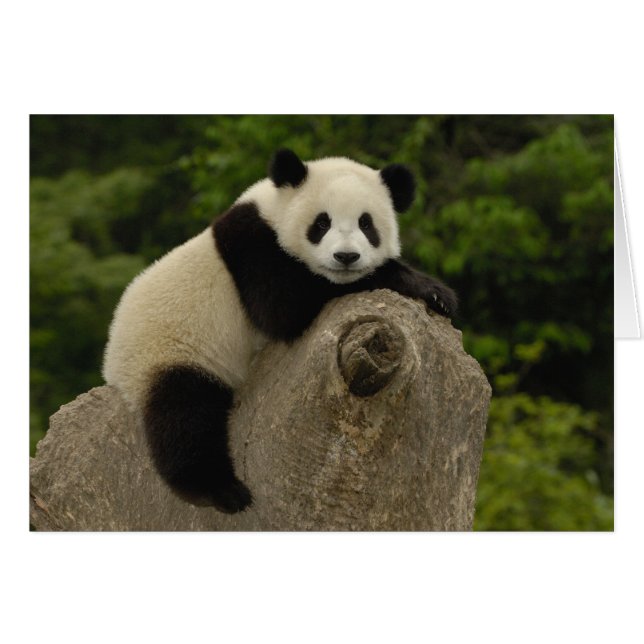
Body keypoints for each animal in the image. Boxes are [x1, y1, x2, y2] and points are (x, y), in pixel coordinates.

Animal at [103, 149, 457, 514]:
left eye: (366, 223)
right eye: (321, 223)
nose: (346, 257)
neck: (273, 209)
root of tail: (112, 366)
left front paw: (435, 296)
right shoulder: (254, 247)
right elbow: (285, 306)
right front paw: (426, 286)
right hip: (170, 350)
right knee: (185, 415)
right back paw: (221, 491)